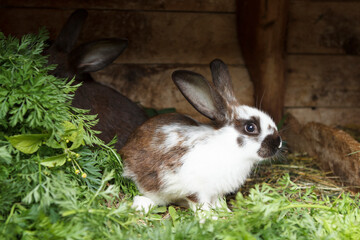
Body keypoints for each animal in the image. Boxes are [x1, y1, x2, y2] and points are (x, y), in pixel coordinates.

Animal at [121, 59, 284, 213]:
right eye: (250, 127)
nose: (278, 142)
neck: (229, 148)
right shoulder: (195, 189)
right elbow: (200, 205)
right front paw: (210, 217)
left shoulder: (217, 192)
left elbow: (218, 202)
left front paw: (224, 212)